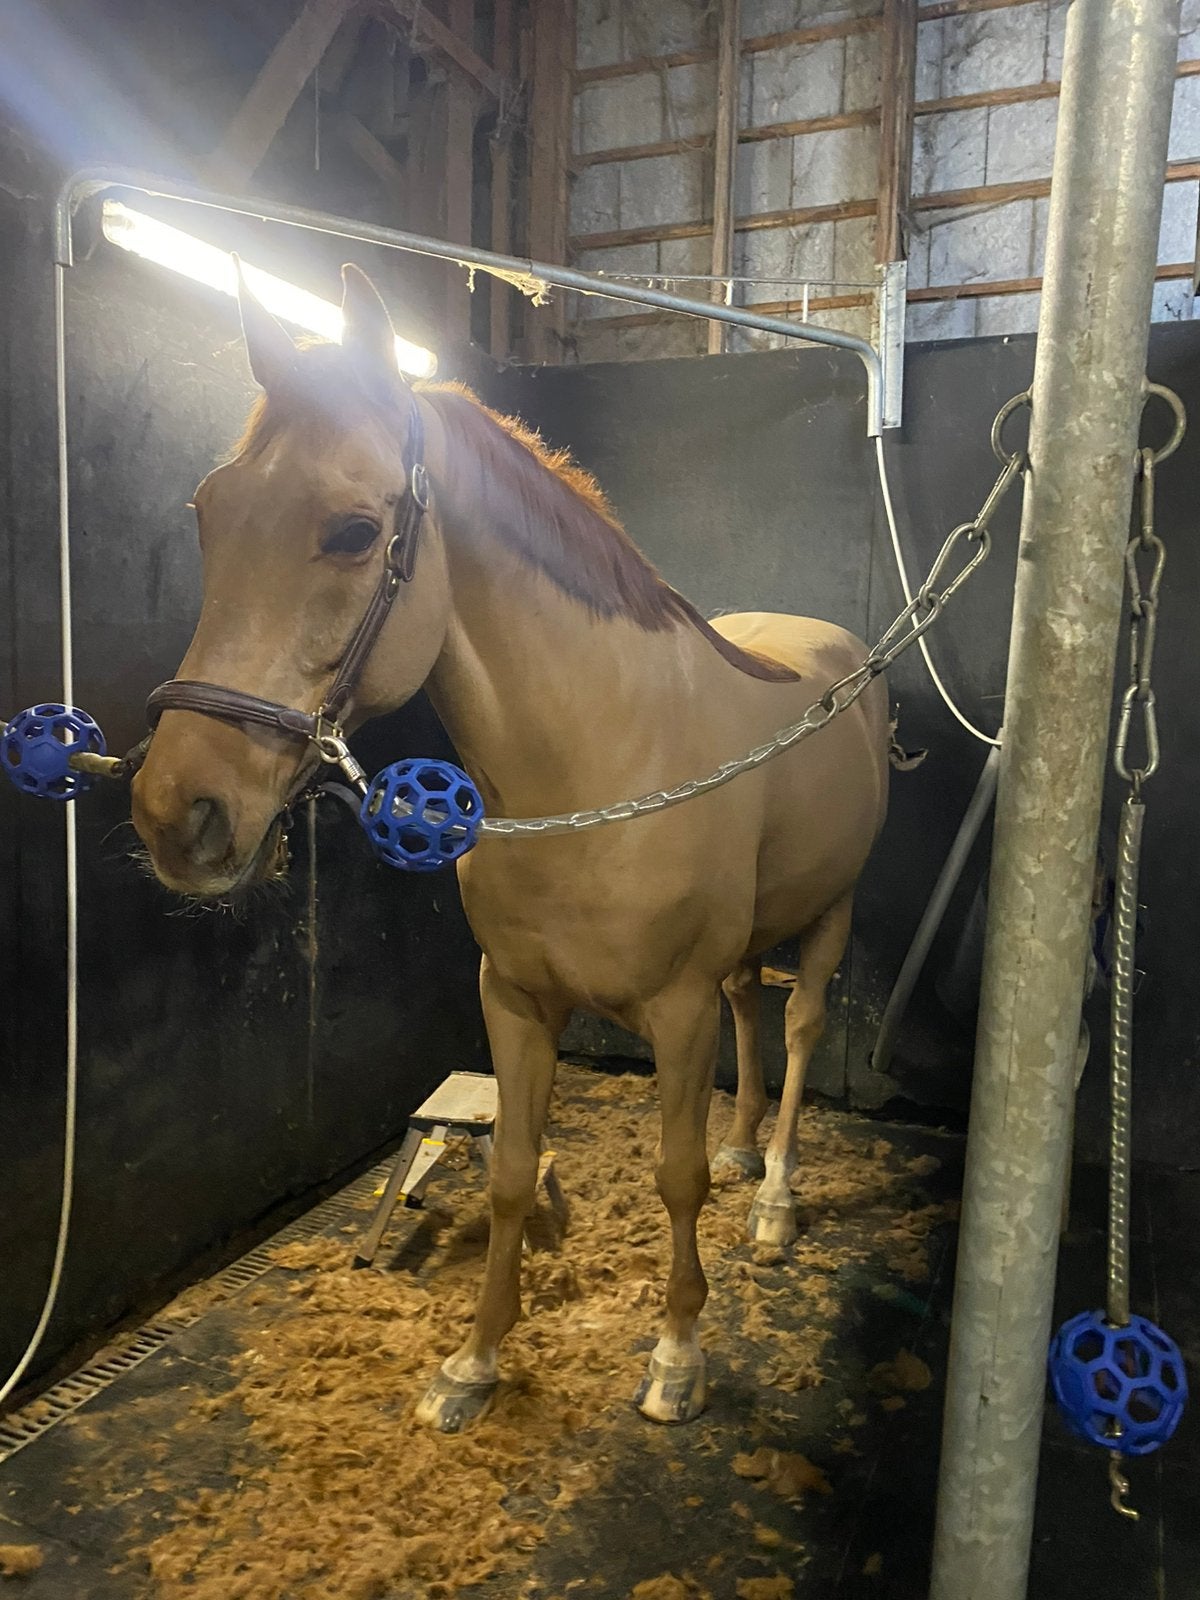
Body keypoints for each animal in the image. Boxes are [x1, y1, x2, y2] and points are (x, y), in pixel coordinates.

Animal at [131, 265, 890, 1432]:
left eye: (353, 531)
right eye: (210, 514)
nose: (178, 813)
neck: (595, 768)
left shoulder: (673, 1009)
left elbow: (673, 1179)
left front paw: (678, 1354)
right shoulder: (516, 998)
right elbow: (511, 1173)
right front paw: (473, 1363)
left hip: (835, 913)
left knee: (801, 1028)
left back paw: (774, 1196)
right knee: (751, 1014)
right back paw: (744, 1141)